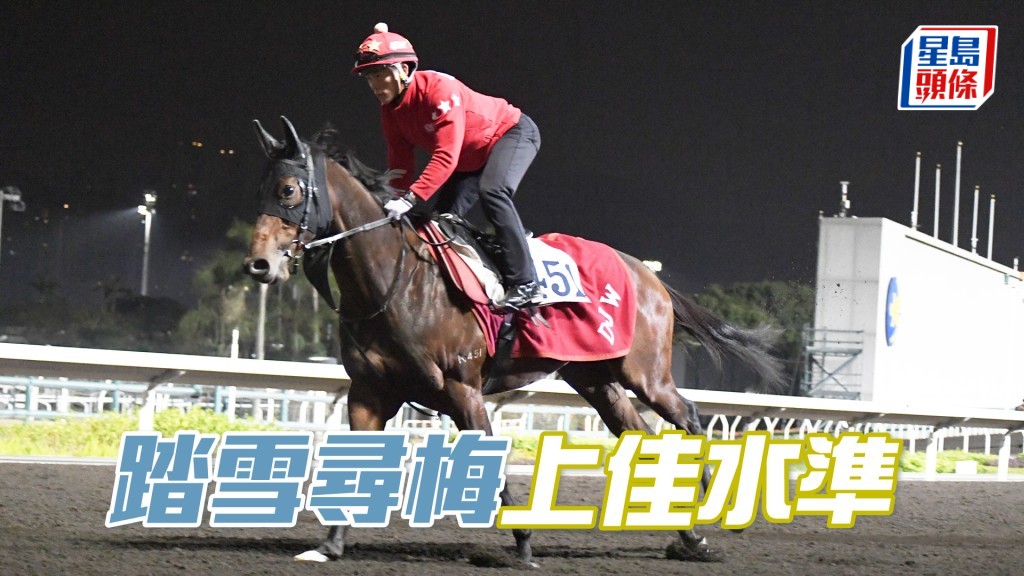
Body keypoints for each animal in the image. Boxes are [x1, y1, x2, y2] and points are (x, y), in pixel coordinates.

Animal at [243, 116, 784, 565]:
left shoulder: (462, 389)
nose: (258, 264)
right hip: (596, 379)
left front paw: (523, 541)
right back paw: (686, 532)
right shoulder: (368, 392)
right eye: (260, 190)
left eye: (288, 190)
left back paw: (709, 506)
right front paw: (329, 545)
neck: (395, 280)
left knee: (688, 415)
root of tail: (650, 277)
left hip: (645, 373)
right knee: (639, 437)